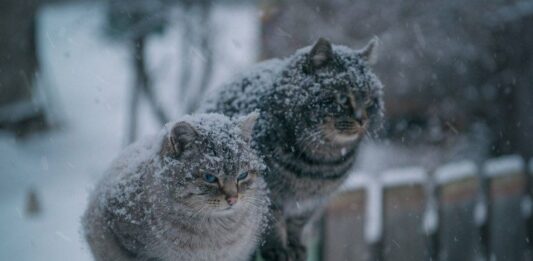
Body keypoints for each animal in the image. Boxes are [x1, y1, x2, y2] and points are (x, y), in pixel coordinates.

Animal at [203, 37, 382, 258]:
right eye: (342, 98)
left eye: (369, 100)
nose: (362, 120)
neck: (320, 162)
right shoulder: (268, 194)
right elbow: (272, 224)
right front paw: (278, 249)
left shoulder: (310, 202)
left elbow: (297, 225)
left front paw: (295, 246)